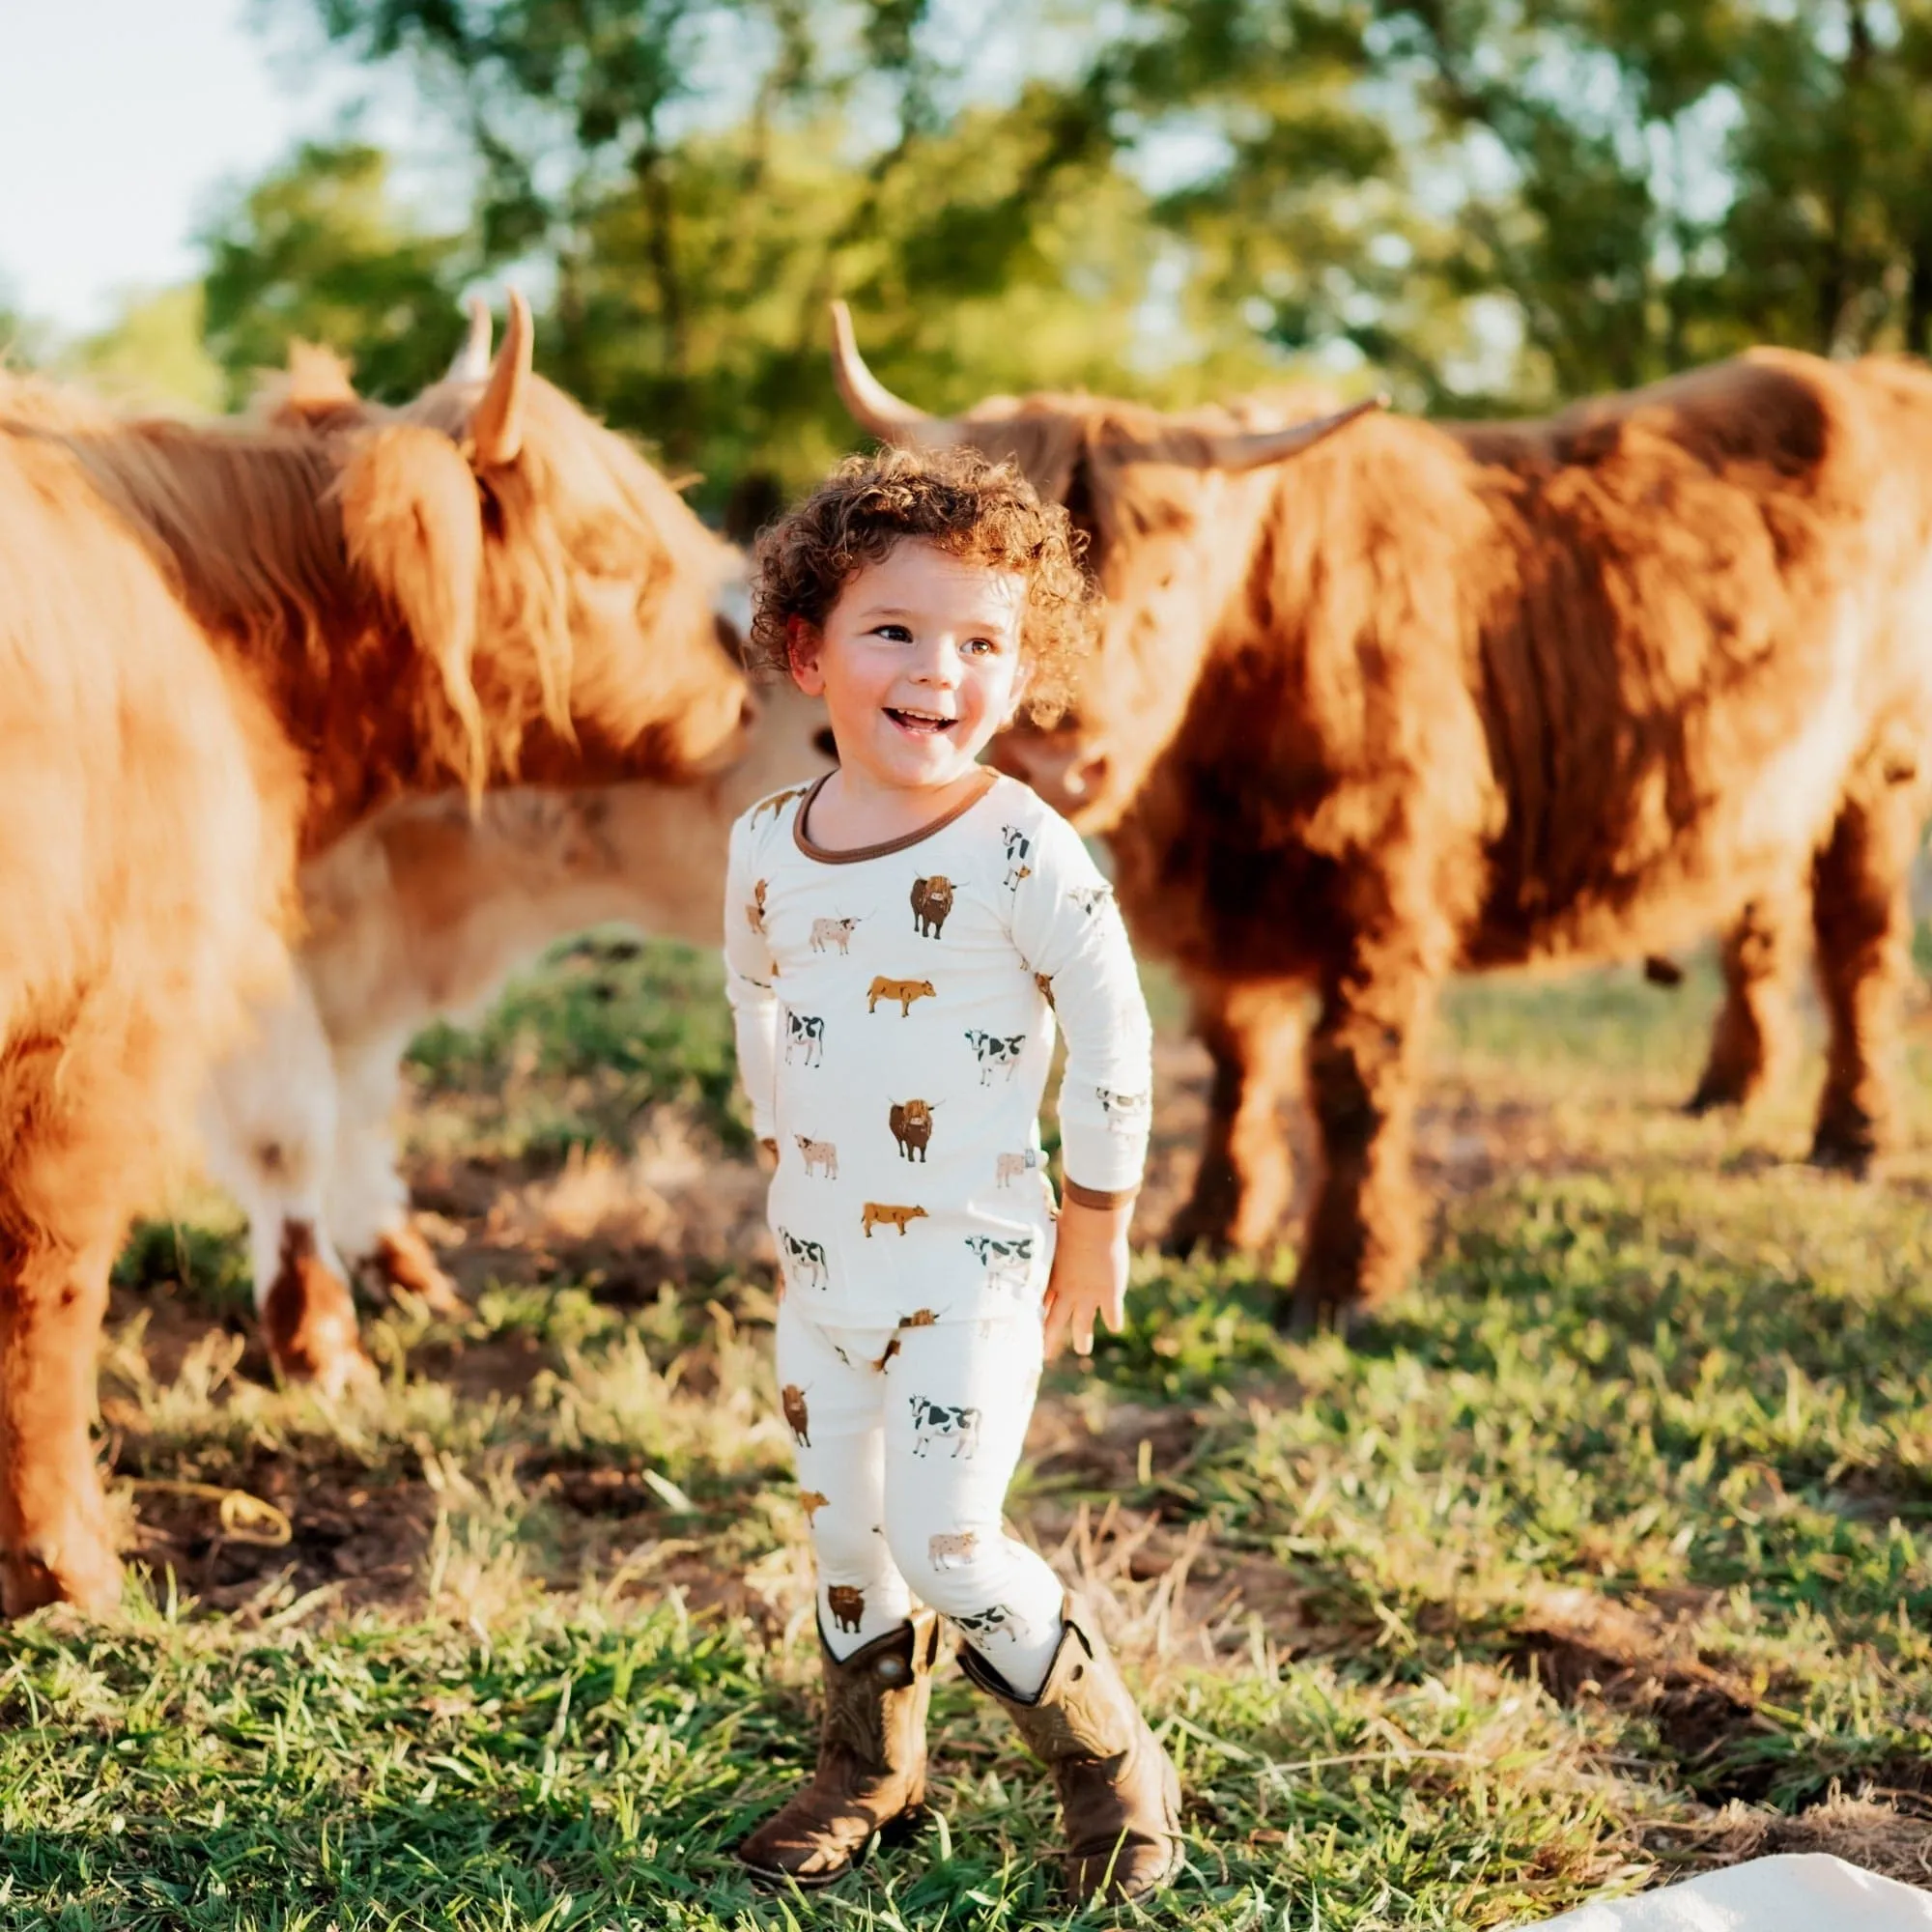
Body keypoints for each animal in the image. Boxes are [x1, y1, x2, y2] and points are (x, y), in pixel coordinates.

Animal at [838, 305, 1932, 1329]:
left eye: (1171, 579)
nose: (1056, 759)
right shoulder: (1222, 908)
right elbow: (1237, 1061)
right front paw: (1211, 1224)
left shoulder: (1383, 888)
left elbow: (1351, 1081)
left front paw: (1341, 1278)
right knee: (1761, 917)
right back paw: (1729, 1089)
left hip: (1880, 768)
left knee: (1858, 946)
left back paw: (1851, 1138)